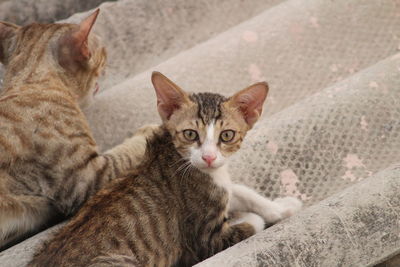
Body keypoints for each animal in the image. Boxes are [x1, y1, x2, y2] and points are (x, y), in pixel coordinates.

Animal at [0, 9, 156, 250]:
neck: (28, 83)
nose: (107, 61)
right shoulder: (89, 177)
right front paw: (148, 131)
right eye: (103, 52)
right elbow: (127, 152)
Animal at [28, 72, 302, 266]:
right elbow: (251, 222)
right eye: (190, 134)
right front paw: (248, 216)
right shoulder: (204, 241)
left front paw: (280, 207)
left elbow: (242, 191)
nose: (209, 157)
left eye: (227, 135)